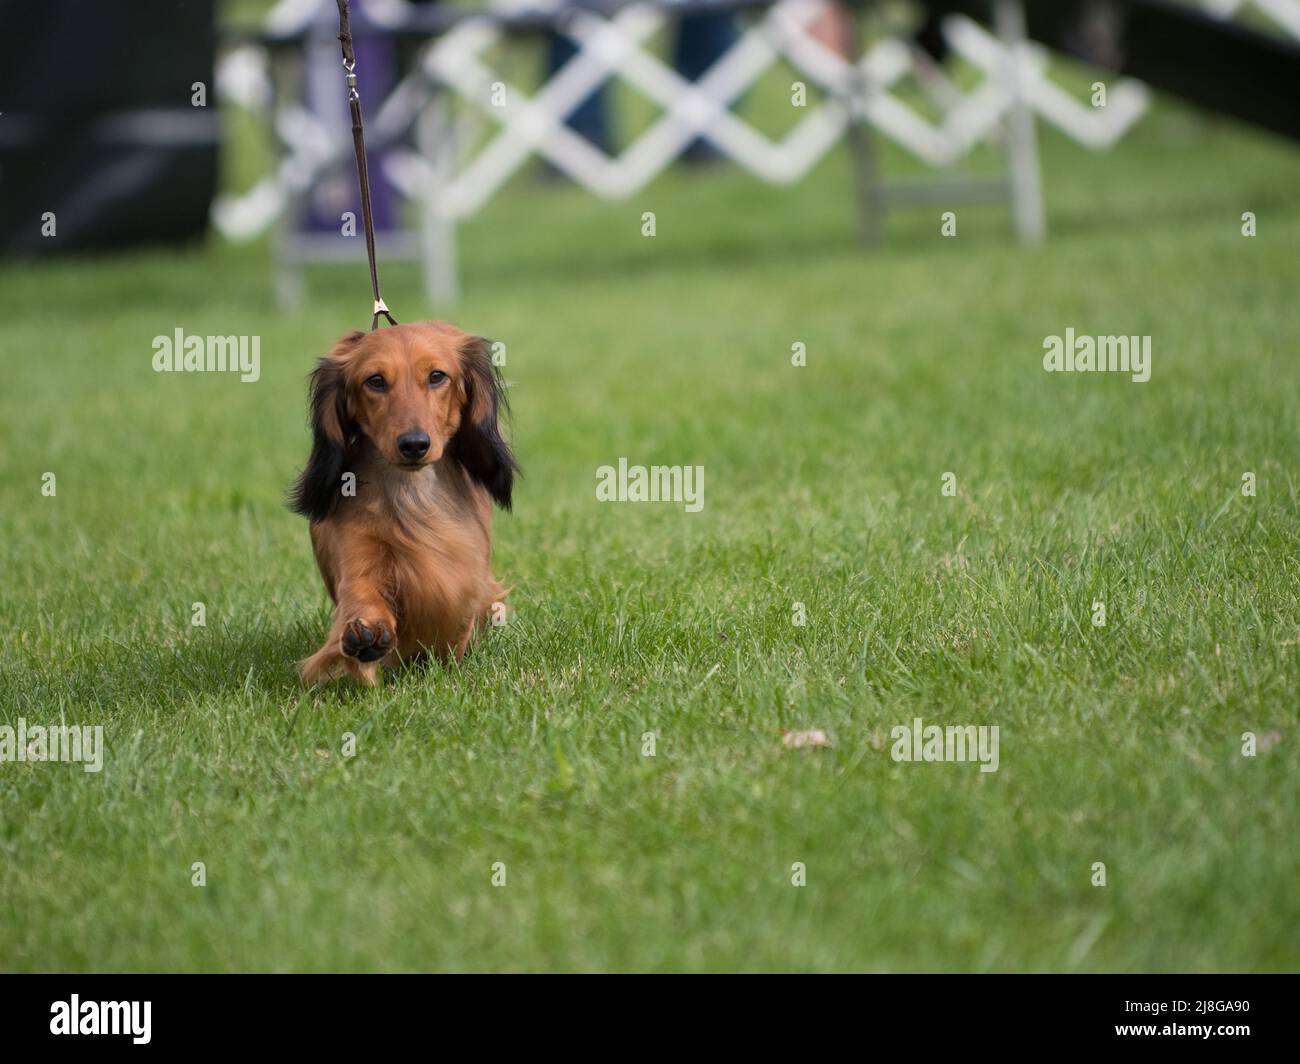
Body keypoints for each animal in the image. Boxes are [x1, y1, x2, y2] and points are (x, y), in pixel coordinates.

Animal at [292, 321, 514, 681]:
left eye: (437, 376)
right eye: (375, 380)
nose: (414, 444)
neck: (411, 494)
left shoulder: (462, 572)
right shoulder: (357, 550)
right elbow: (362, 595)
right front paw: (367, 632)